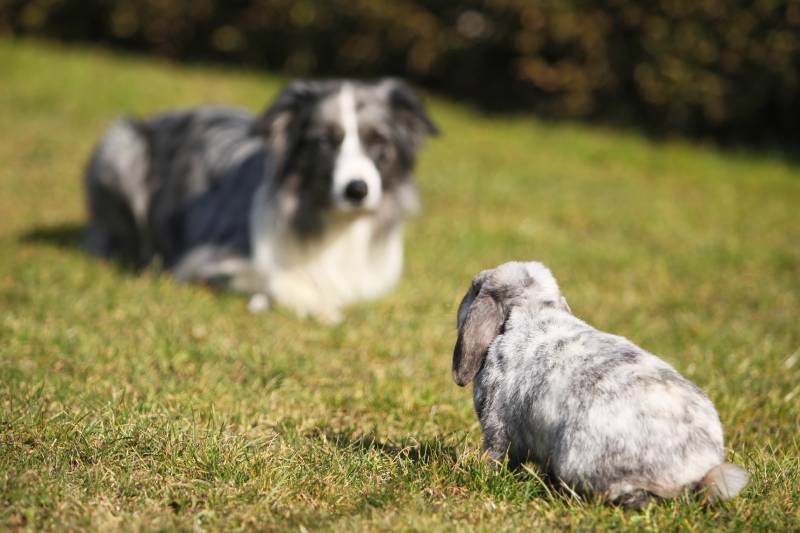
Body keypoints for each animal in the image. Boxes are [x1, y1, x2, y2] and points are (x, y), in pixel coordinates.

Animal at [83, 78, 438, 320]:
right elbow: (272, 276)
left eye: (378, 140)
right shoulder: (204, 258)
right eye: (324, 141)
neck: (336, 226)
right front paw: (320, 304)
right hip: (121, 147)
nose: (357, 189)